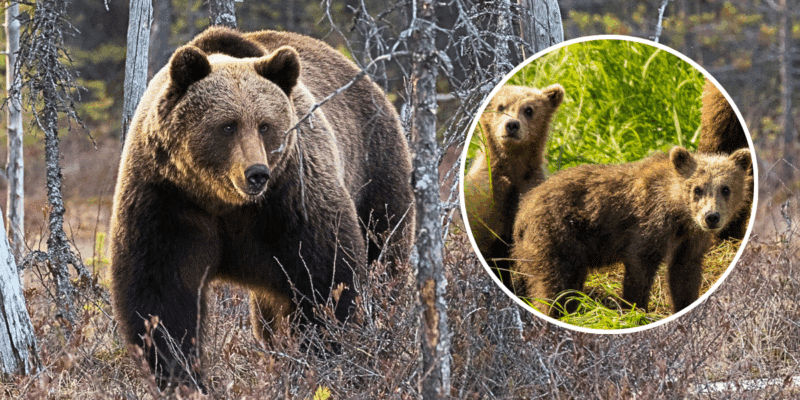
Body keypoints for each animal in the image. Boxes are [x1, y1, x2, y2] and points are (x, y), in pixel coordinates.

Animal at [109, 27, 415, 389]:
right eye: (227, 125)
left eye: (265, 125)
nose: (256, 173)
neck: (224, 201)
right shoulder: (166, 198)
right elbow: (161, 292)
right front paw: (179, 372)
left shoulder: (291, 198)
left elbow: (327, 278)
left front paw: (322, 357)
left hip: (375, 170)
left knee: (384, 255)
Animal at [510, 147, 753, 317]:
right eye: (697, 189)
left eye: (726, 189)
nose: (711, 217)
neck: (679, 215)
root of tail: (522, 211)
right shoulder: (649, 227)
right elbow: (639, 271)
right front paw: (635, 311)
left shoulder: (689, 241)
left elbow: (684, 276)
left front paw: (683, 305)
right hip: (557, 236)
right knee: (553, 283)